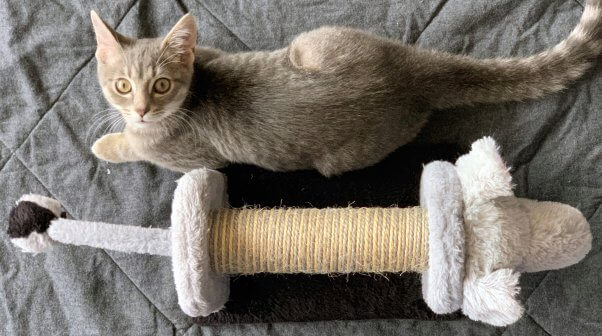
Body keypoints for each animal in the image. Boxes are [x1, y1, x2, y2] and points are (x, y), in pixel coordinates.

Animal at [90, 1, 600, 176]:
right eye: (122, 85)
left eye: (160, 85)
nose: (139, 109)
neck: (193, 91)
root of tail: (408, 70)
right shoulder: (209, 54)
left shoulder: (189, 157)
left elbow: (134, 148)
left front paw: (108, 143)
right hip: (322, 43)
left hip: (339, 149)